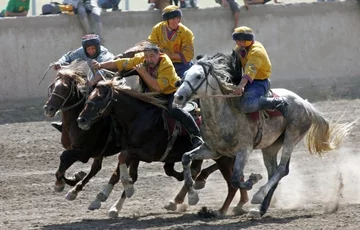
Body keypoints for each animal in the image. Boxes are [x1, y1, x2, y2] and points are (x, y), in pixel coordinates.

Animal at [76, 80, 250, 218]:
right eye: (89, 97)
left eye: (98, 98)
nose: (81, 120)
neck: (138, 118)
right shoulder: (133, 153)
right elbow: (121, 172)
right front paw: (105, 202)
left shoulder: (146, 153)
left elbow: (123, 163)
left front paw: (122, 194)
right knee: (233, 177)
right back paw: (238, 204)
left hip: (224, 158)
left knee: (231, 184)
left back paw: (221, 208)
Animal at [172, 54, 354, 217]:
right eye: (184, 75)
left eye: (198, 76)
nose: (178, 97)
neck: (224, 113)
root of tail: (305, 103)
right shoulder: (212, 150)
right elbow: (186, 158)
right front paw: (193, 196)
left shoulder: (244, 150)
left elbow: (236, 179)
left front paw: (252, 179)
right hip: (270, 147)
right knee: (273, 171)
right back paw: (260, 209)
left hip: (292, 137)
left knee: (282, 169)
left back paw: (259, 196)